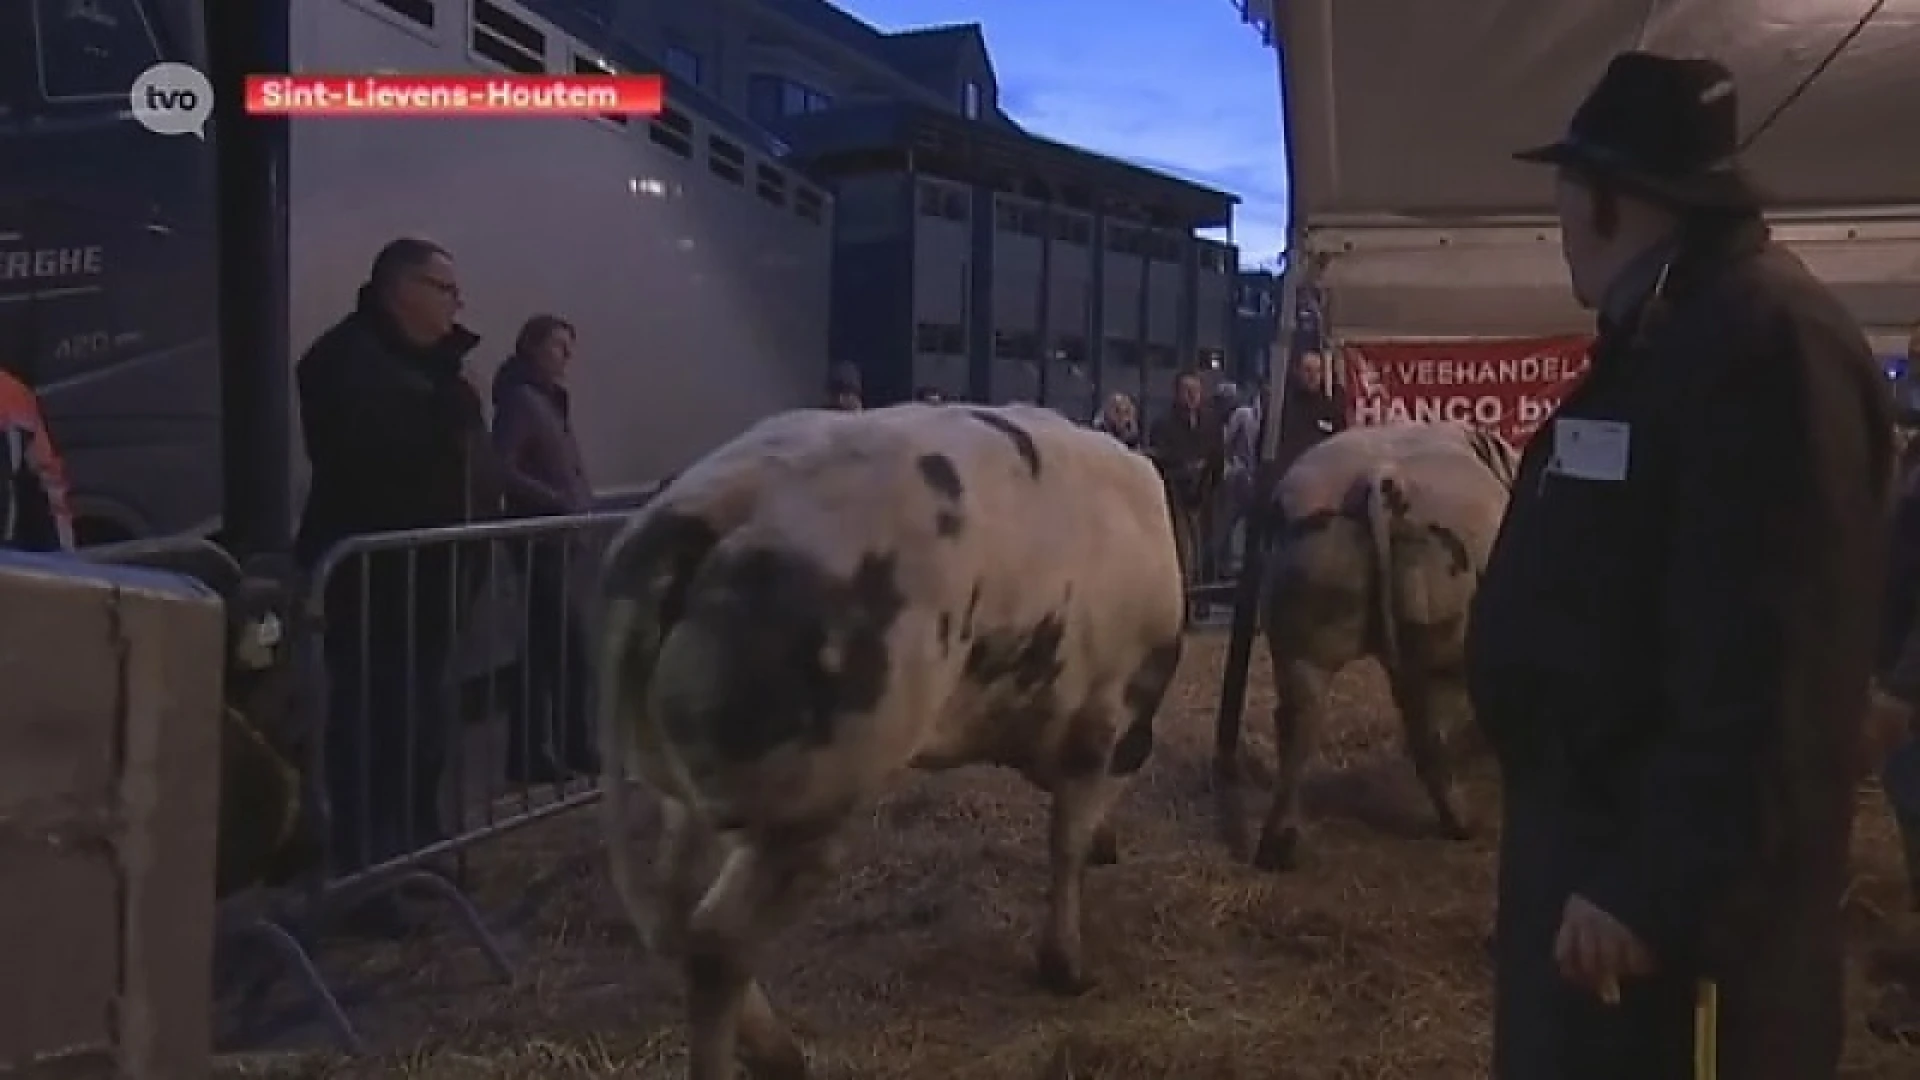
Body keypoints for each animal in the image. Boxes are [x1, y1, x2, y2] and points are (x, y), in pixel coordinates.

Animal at [599, 401, 1182, 1076]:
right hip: (808, 797)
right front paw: (1067, 968)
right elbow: (1067, 838)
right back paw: (776, 1056)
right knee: (718, 942)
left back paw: (778, 1049)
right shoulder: (1109, 715)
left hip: (686, 776)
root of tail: (700, 512)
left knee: (681, 906)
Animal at [1251, 418, 1520, 864]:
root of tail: (1380, 476)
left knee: (1297, 722)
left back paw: (1279, 845)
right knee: (1435, 731)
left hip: (1303, 630)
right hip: (1444, 641)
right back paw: (1463, 824)